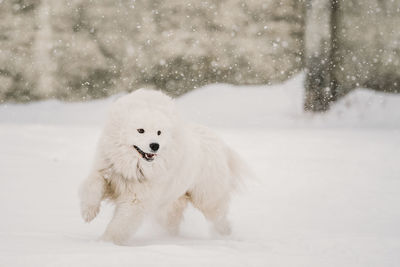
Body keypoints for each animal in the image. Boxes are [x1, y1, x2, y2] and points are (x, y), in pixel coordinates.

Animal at [79, 89, 245, 245]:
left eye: (159, 132)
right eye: (141, 130)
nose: (155, 145)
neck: (131, 165)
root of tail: (220, 143)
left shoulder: (139, 196)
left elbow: (122, 222)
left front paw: (105, 242)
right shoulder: (108, 167)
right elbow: (93, 182)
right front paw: (89, 212)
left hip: (206, 193)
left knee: (217, 213)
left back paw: (226, 234)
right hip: (172, 201)